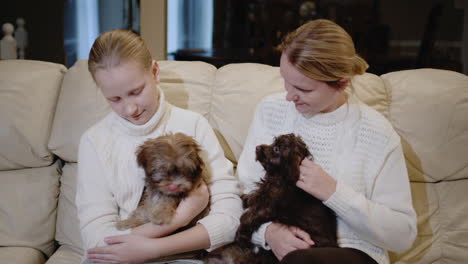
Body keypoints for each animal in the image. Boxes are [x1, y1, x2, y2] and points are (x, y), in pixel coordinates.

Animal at [238, 134, 336, 264]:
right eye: (273, 143)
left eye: (276, 149)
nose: (257, 147)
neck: (280, 176)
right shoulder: (265, 192)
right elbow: (255, 197)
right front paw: (245, 198)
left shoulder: (267, 207)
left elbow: (247, 218)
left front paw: (240, 236)